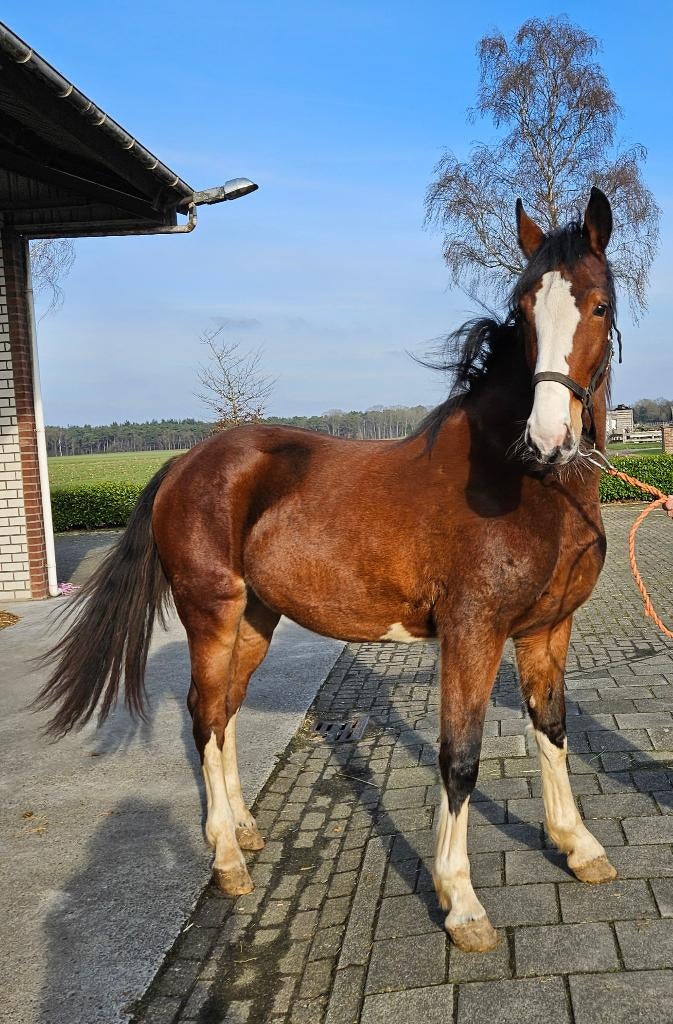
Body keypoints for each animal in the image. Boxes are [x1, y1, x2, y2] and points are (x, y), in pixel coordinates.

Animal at [37, 186, 619, 954]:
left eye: (599, 306)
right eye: (524, 311)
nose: (547, 438)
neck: (523, 483)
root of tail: (185, 462)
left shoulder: (547, 628)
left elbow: (552, 730)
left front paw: (578, 847)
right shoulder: (473, 632)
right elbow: (459, 757)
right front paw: (460, 901)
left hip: (256, 619)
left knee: (226, 713)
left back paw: (246, 830)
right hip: (211, 613)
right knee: (202, 715)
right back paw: (226, 858)